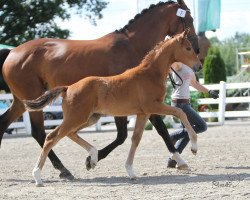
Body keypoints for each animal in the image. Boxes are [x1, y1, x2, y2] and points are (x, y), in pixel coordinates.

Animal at [0, 0, 199, 180]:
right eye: (189, 19)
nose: (198, 61)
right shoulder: (150, 106)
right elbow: (168, 120)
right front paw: (190, 151)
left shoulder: (144, 111)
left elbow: (140, 136)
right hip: (52, 105)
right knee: (46, 135)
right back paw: (52, 172)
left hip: (39, 105)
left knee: (22, 126)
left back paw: (83, 159)